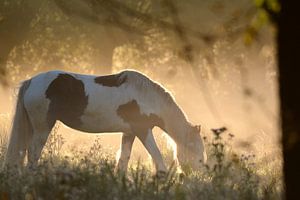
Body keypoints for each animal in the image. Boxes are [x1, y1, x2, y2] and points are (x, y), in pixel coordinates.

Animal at [4, 69, 206, 173]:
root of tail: (31, 81)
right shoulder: (143, 130)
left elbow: (123, 160)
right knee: (33, 154)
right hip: (42, 128)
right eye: (197, 152)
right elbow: (157, 158)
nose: (197, 175)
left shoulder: (129, 133)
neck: (146, 97)